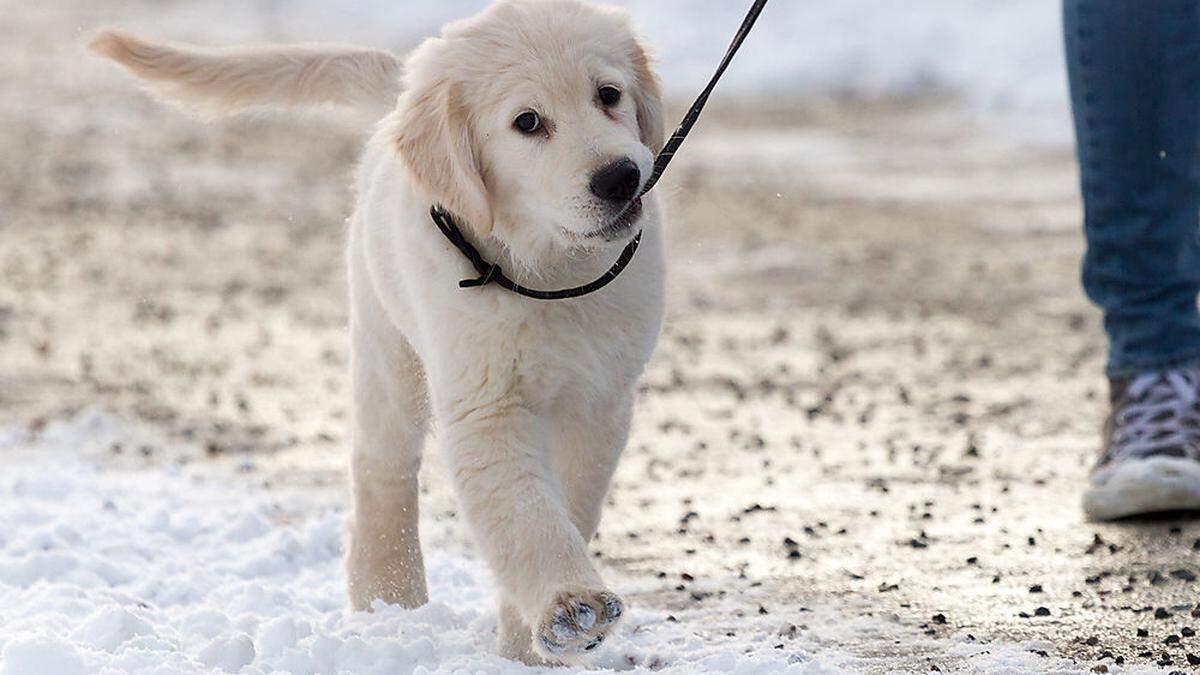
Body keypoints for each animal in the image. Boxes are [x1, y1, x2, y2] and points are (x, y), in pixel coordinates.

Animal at [90, 0, 672, 662]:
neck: (548, 273)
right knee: (382, 469)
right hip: (387, 346)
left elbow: (567, 504)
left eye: (609, 95)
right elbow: (523, 512)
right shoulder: (482, 404)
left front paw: (531, 642)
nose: (619, 177)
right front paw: (569, 608)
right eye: (527, 122)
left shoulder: (601, 401)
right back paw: (386, 594)